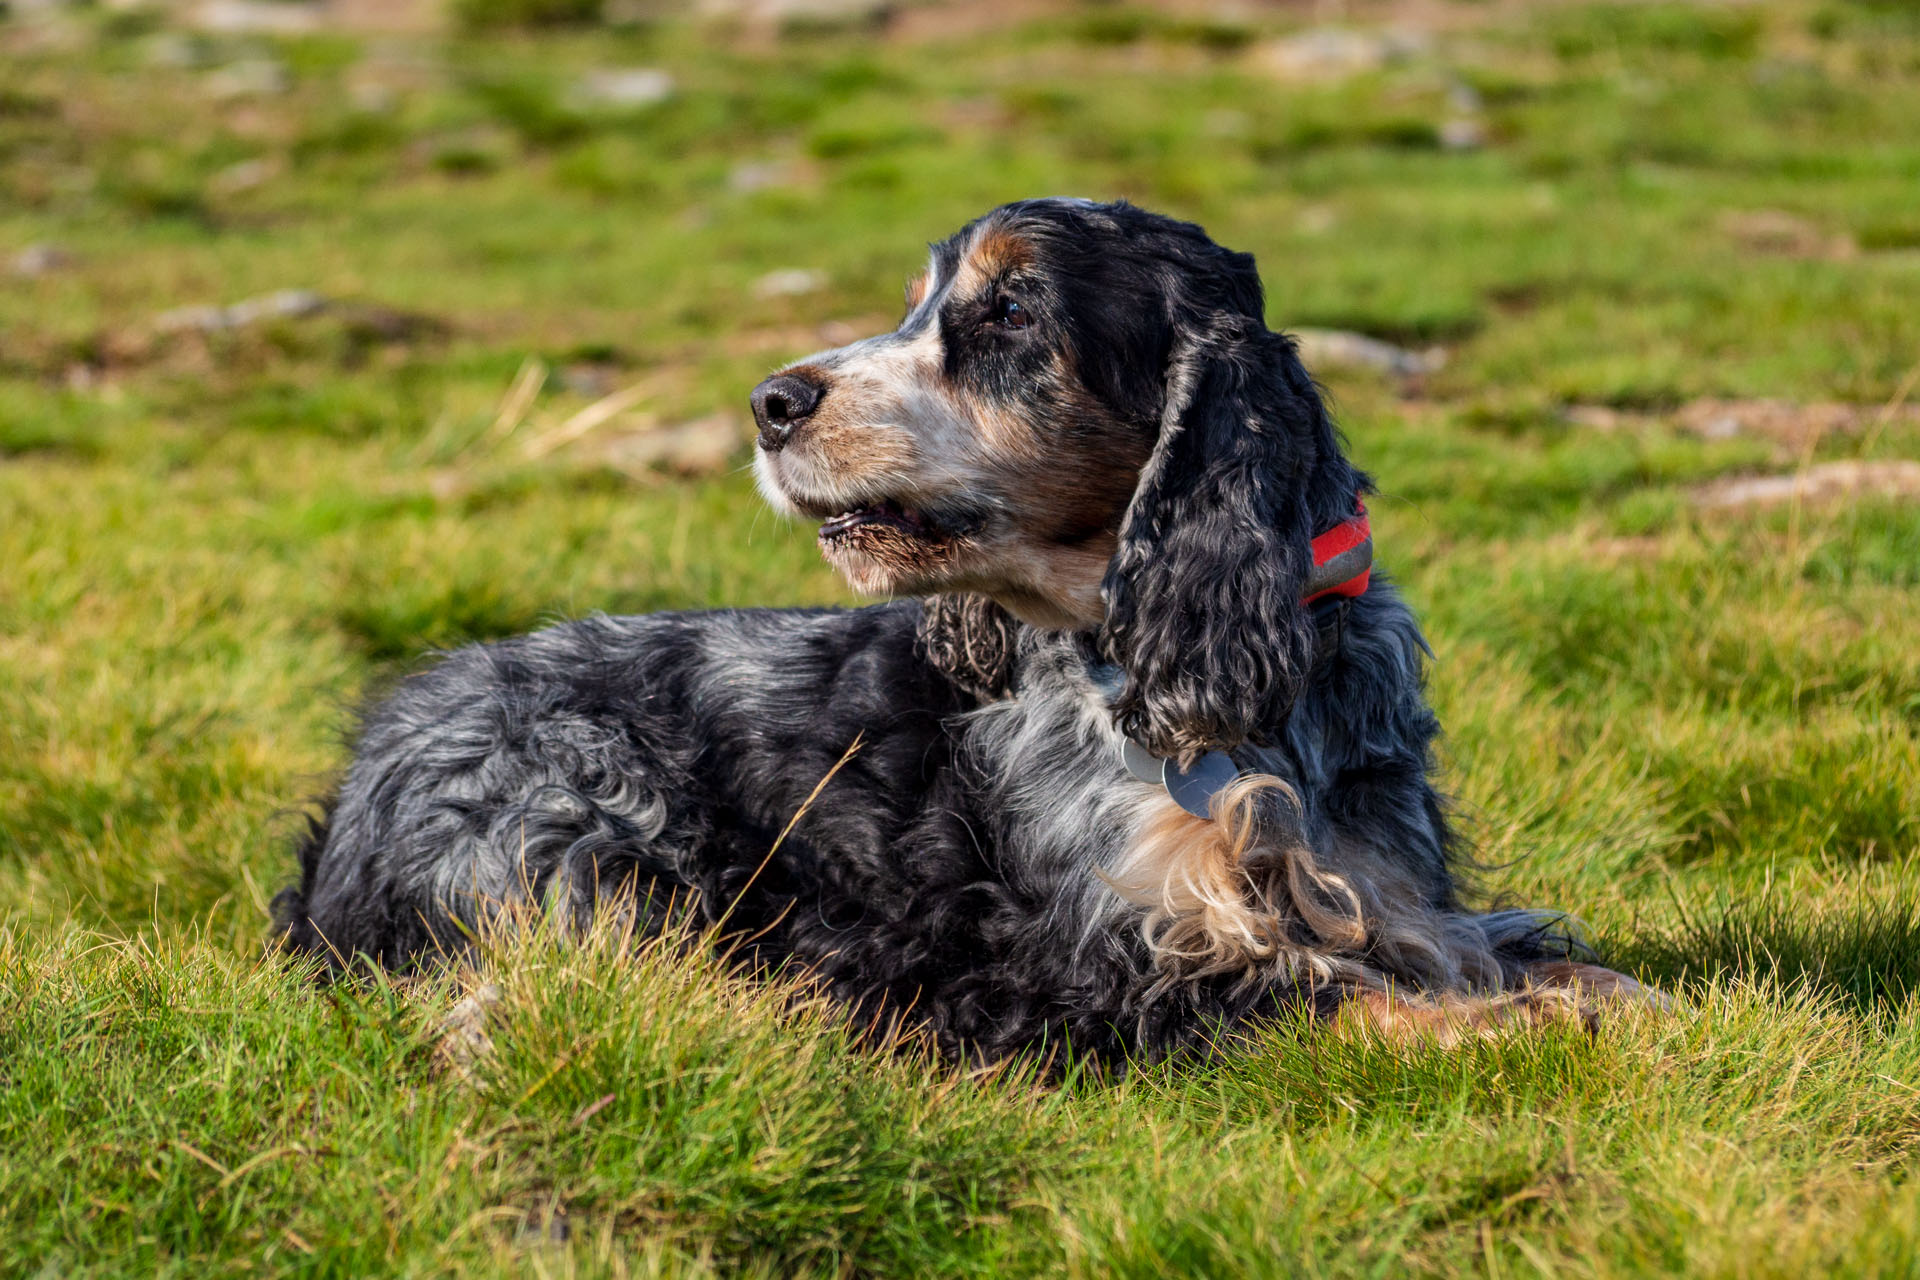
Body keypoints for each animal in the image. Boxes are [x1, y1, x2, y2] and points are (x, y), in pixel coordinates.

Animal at [280, 197, 1651, 1059]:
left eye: (1010, 314)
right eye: (917, 306)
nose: (769, 401)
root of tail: (352, 787)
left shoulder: (1387, 896)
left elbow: (1534, 957)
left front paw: (1607, 995)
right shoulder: (1079, 961)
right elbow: (1329, 996)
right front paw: (1520, 1023)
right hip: (582, 818)